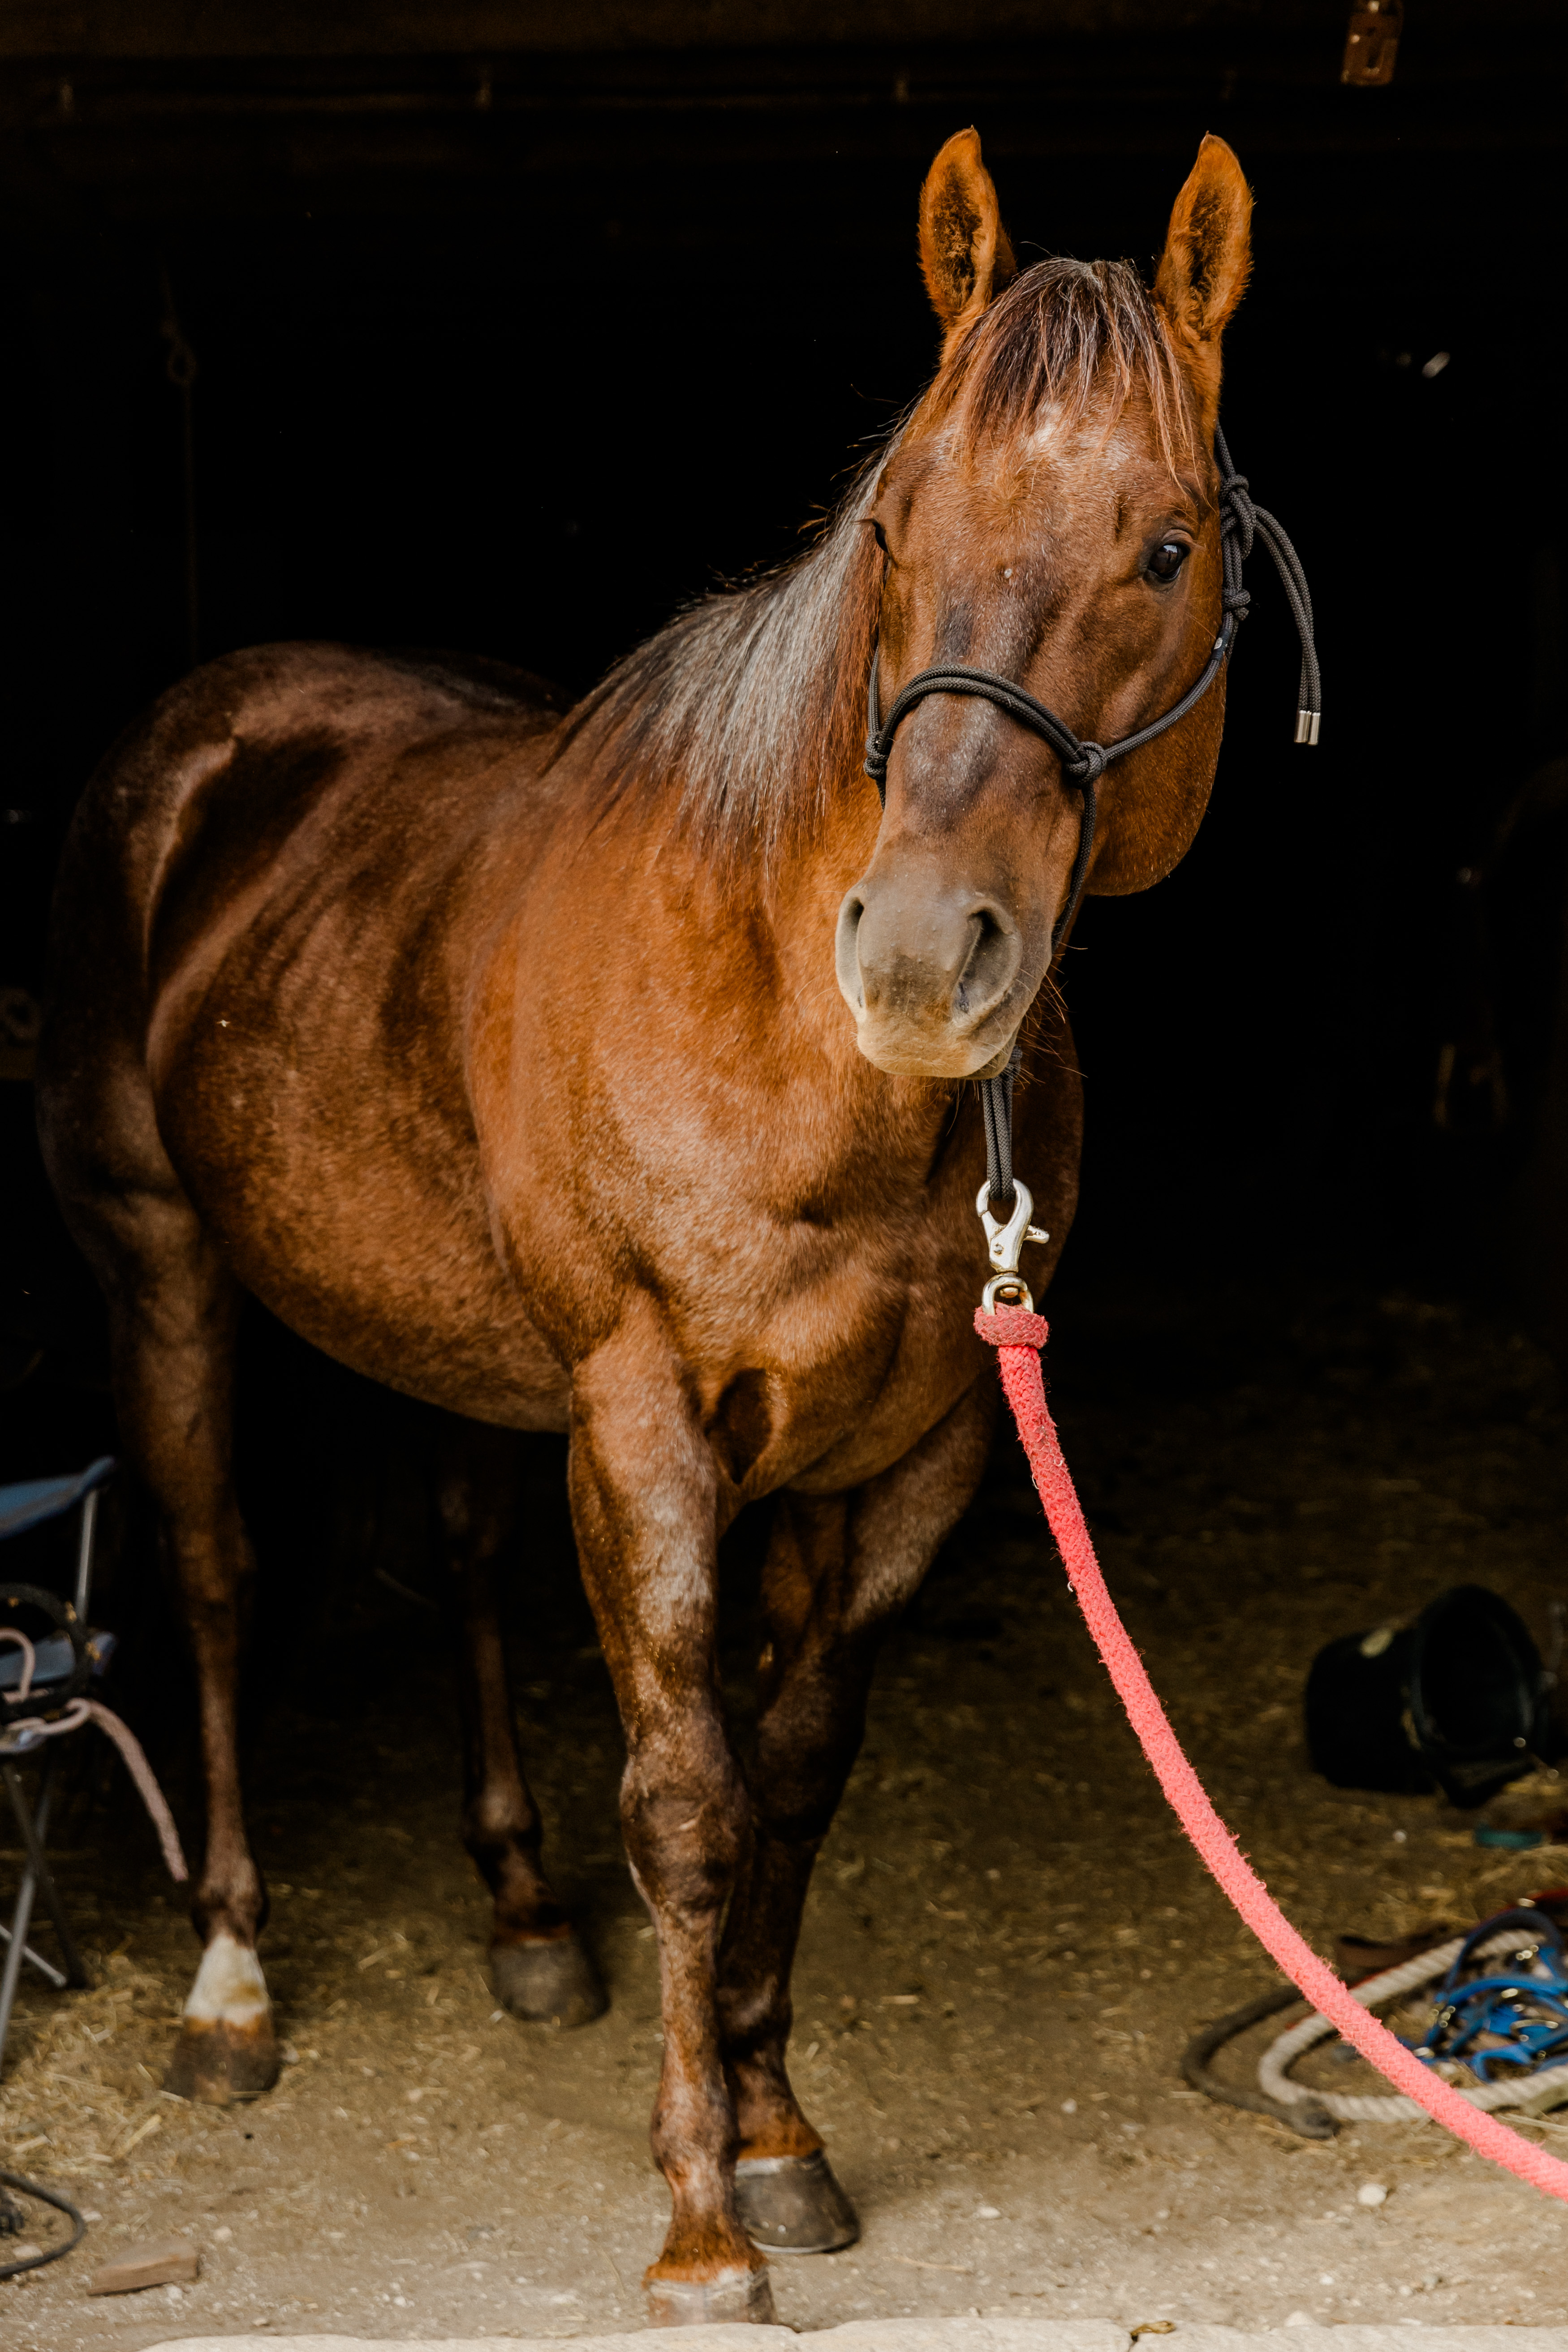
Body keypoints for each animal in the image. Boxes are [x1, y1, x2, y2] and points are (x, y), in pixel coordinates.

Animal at [36, 126, 1252, 2324]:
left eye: (1166, 548)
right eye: (891, 526)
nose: (920, 956)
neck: (790, 1039)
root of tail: (208, 733)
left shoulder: (918, 1452)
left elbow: (795, 1780)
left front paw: (775, 2130)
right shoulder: (643, 1422)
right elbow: (689, 1800)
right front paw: (697, 2227)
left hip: (424, 1326)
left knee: (455, 1560)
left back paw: (522, 1916)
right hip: (162, 1272)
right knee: (220, 1577)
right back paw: (233, 1982)